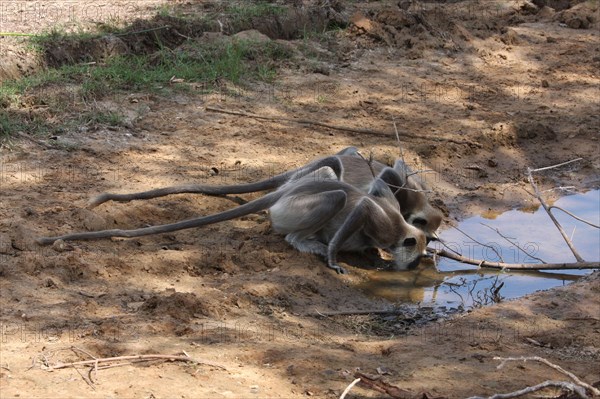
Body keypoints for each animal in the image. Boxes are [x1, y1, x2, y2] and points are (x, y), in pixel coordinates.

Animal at [36, 166, 426, 276]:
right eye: (415, 260)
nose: (408, 268)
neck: (400, 232)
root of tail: (284, 193)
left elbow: (382, 182)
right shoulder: (384, 224)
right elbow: (362, 208)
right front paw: (333, 258)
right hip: (294, 210)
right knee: (339, 197)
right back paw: (306, 243)